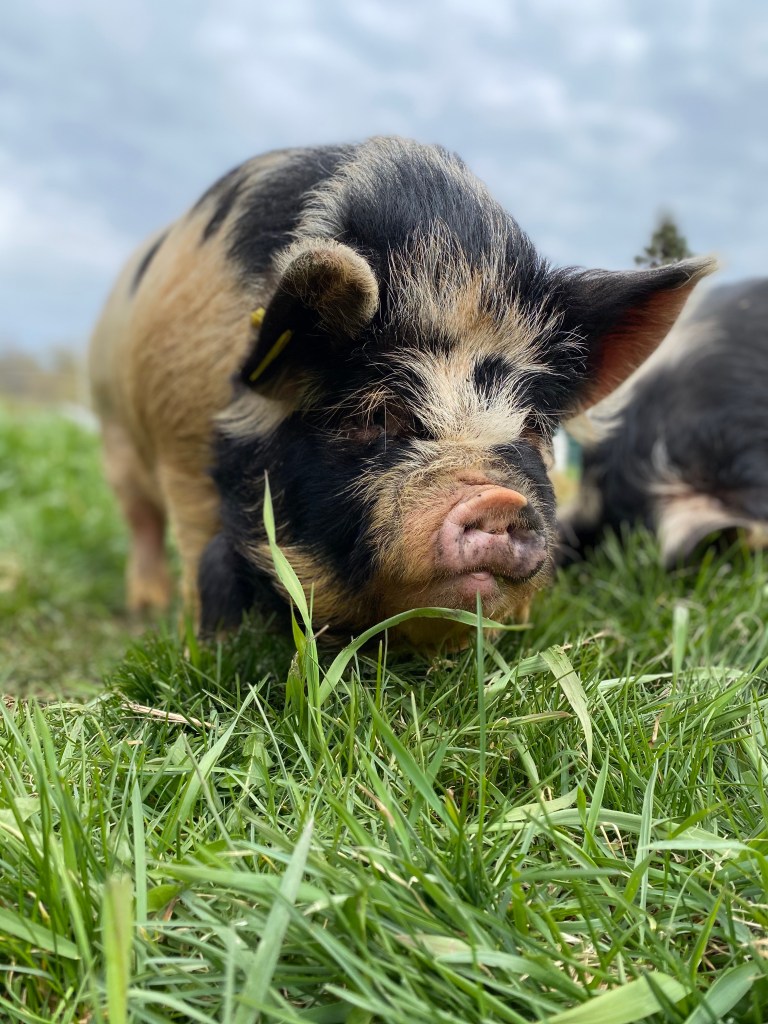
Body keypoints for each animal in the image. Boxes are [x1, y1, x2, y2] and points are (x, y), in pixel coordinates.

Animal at [88, 136, 714, 648]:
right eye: (375, 414)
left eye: (534, 427)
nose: (499, 501)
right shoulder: (181, 445)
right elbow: (201, 547)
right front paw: (203, 645)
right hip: (115, 429)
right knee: (141, 519)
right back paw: (147, 607)